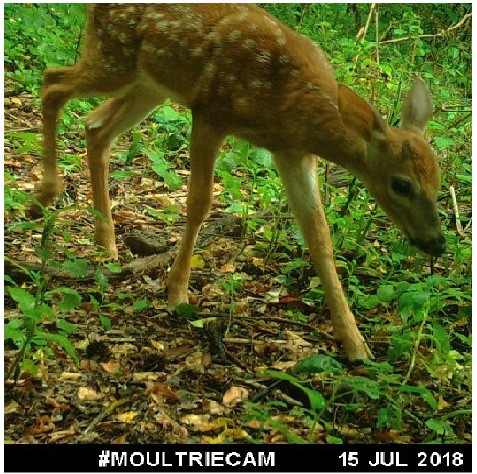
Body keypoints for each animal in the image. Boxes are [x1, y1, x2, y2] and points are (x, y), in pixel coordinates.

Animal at [32, 3, 442, 362]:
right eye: (401, 184)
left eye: (438, 183)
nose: (436, 242)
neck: (290, 104)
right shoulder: (211, 111)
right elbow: (199, 203)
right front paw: (177, 292)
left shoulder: (292, 152)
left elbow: (319, 236)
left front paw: (355, 344)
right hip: (113, 57)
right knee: (53, 81)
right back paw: (45, 194)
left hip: (150, 83)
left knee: (95, 126)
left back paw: (106, 241)